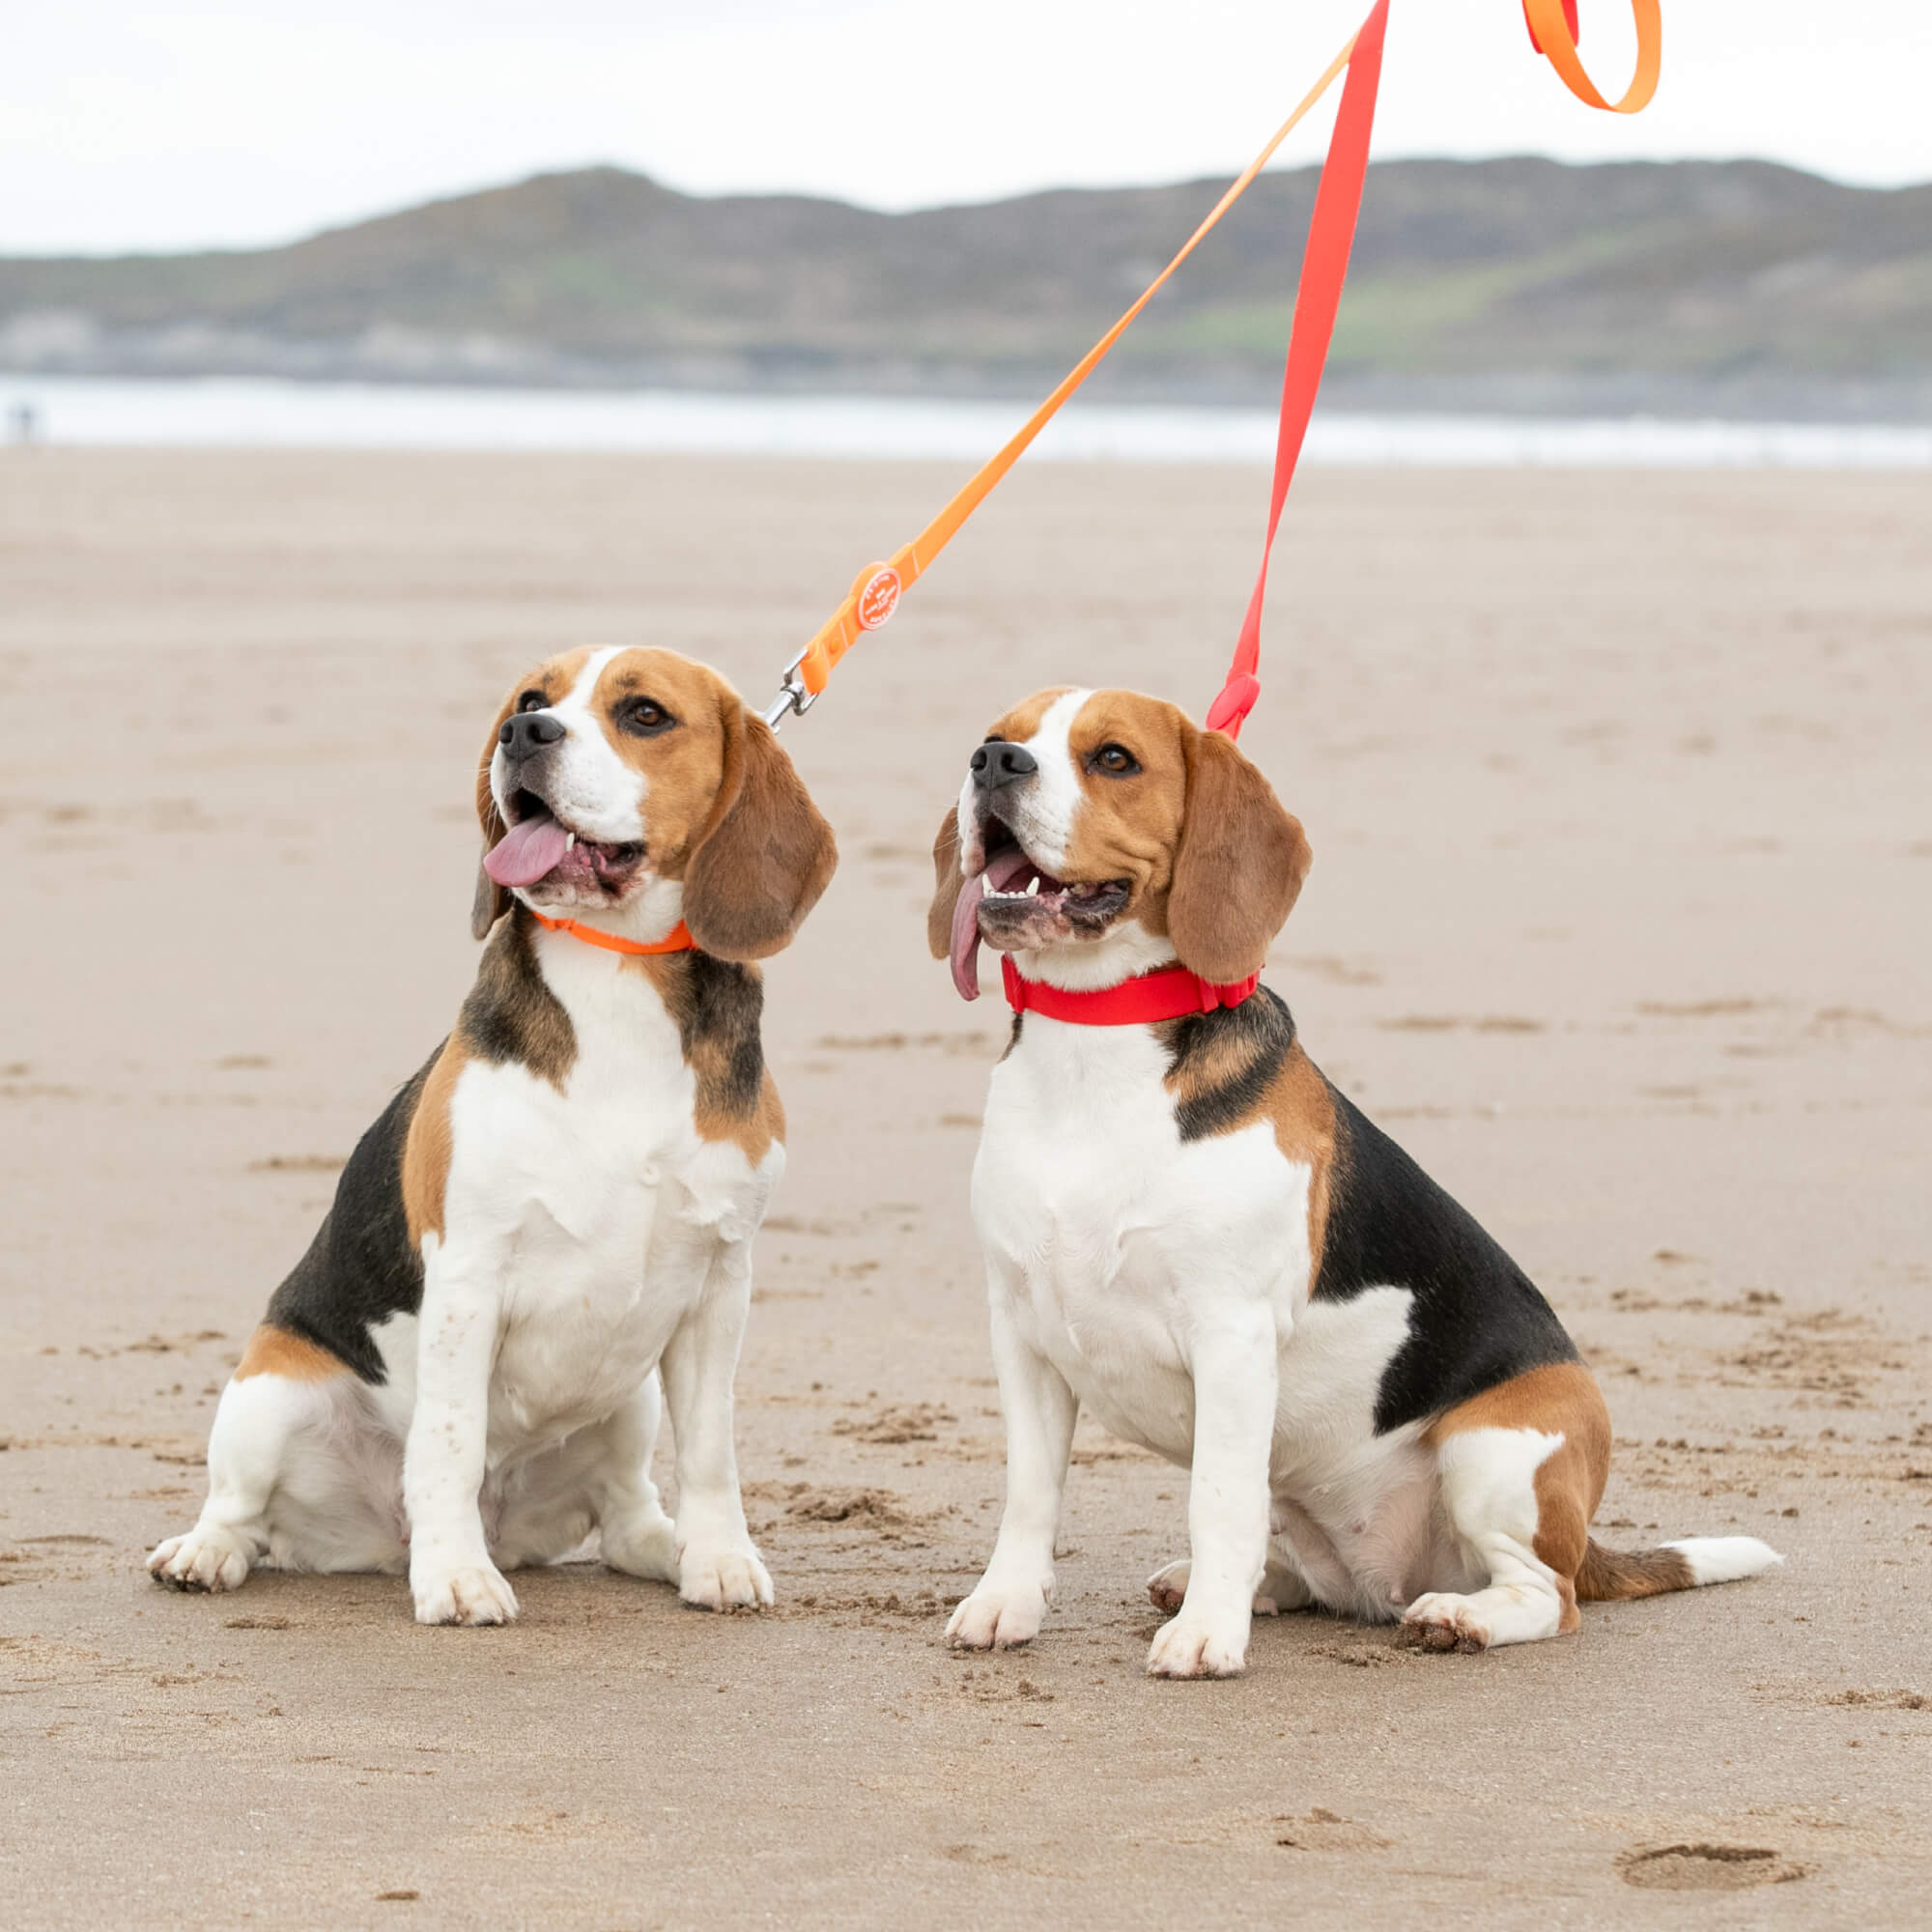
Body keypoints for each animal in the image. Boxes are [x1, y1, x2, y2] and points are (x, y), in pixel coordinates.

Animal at [155, 653, 835, 1631]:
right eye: (530, 700)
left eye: (645, 714)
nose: (525, 735)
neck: (616, 973)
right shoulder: (469, 1277)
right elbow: (448, 1441)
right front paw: (454, 1579)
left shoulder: (720, 1284)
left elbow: (711, 1451)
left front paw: (720, 1559)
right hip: (268, 1391)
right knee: (243, 1512)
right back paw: (208, 1554)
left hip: (630, 1400)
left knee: (627, 1515)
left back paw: (665, 1547)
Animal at [927, 684, 1770, 1677]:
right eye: (999, 738)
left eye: (1114, 760)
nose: (993, 765)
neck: (1093, 1051)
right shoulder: (1020, 1330)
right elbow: (1030, 1495)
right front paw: (1006, 1604)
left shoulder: (1232, 1336)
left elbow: (1218, 1498)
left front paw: (1208, 1638)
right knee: (1305, 1564)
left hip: (1493, 1451)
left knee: (1546, 1596)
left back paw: (1458, 1616)